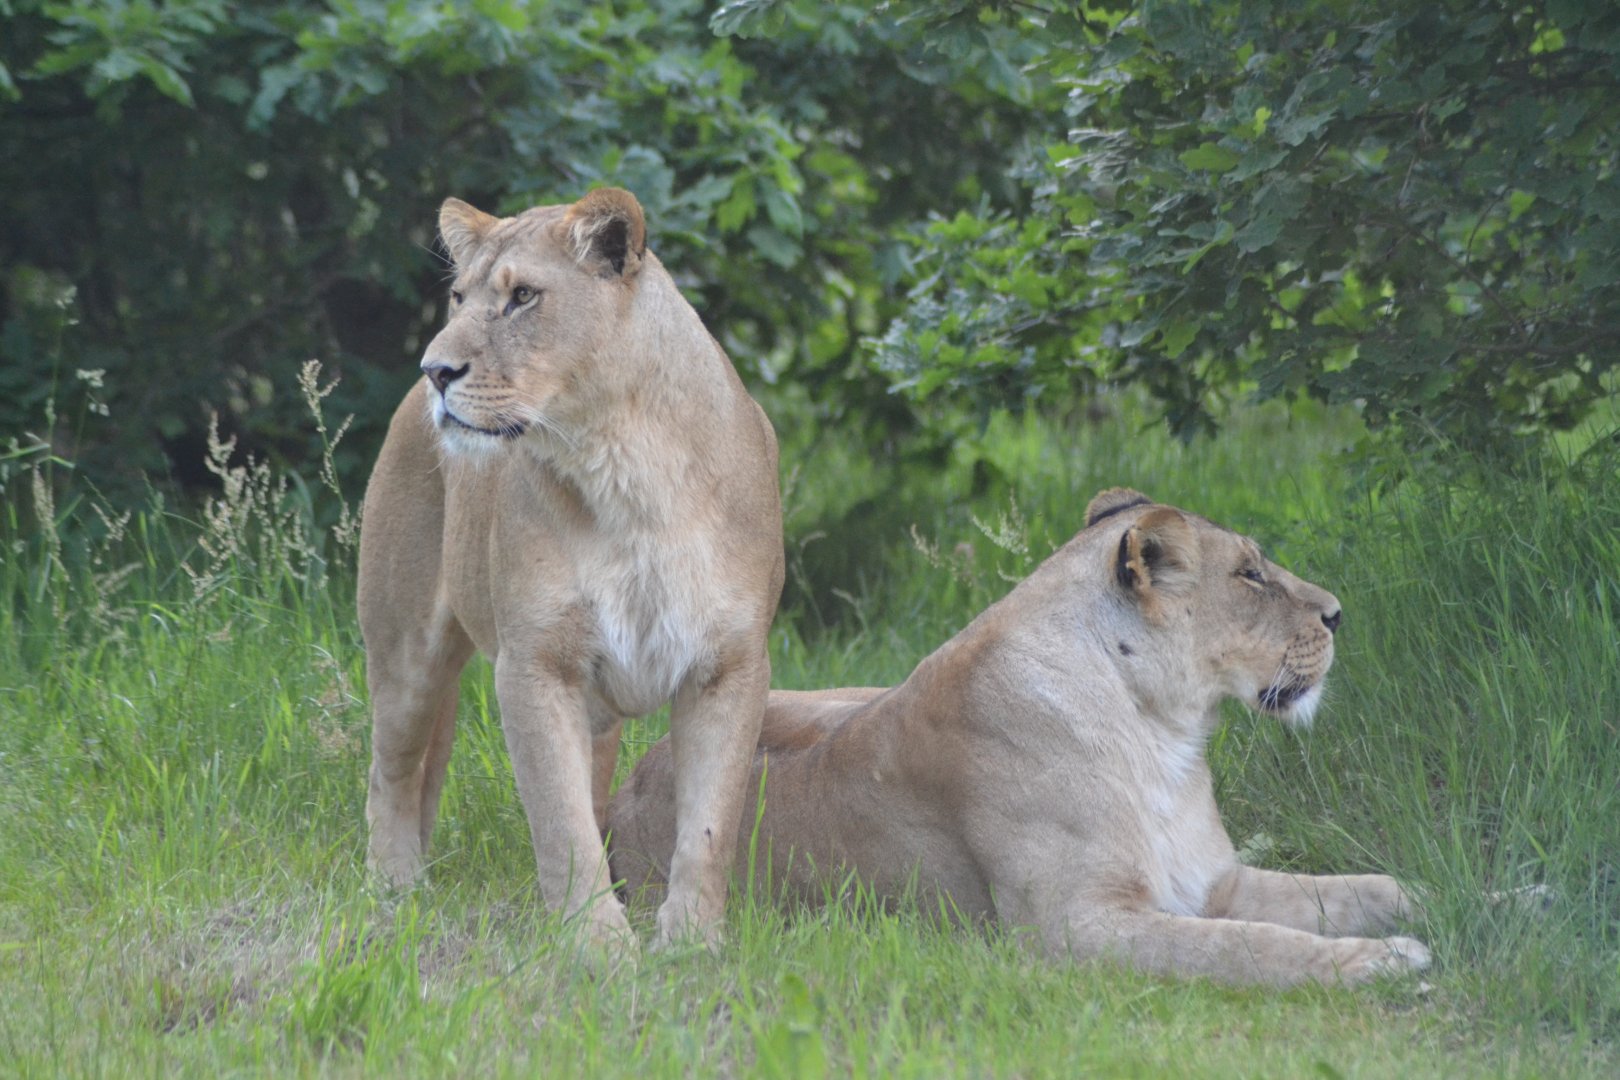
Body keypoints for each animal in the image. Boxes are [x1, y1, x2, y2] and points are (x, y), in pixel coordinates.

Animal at [358, 188, 783, 951]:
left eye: (523, 296)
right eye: (459, 298)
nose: (434, 371)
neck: (625, 462)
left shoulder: (729, 664)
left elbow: (710, 825)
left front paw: (692, 945)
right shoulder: (535, 663)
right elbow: (562, 825)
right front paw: (598, 949)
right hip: (404, 648)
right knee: (392, 771)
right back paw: (395, 889)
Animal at [607, 488, 1430, 985]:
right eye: (1251, 575)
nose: (1338, 613)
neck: (1161, 736)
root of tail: (624, 790)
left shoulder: (1213, 880)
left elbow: (1357, 888)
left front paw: (1446, 902)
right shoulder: (1075, 928)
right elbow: (1249, 946)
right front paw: (1382, 962)